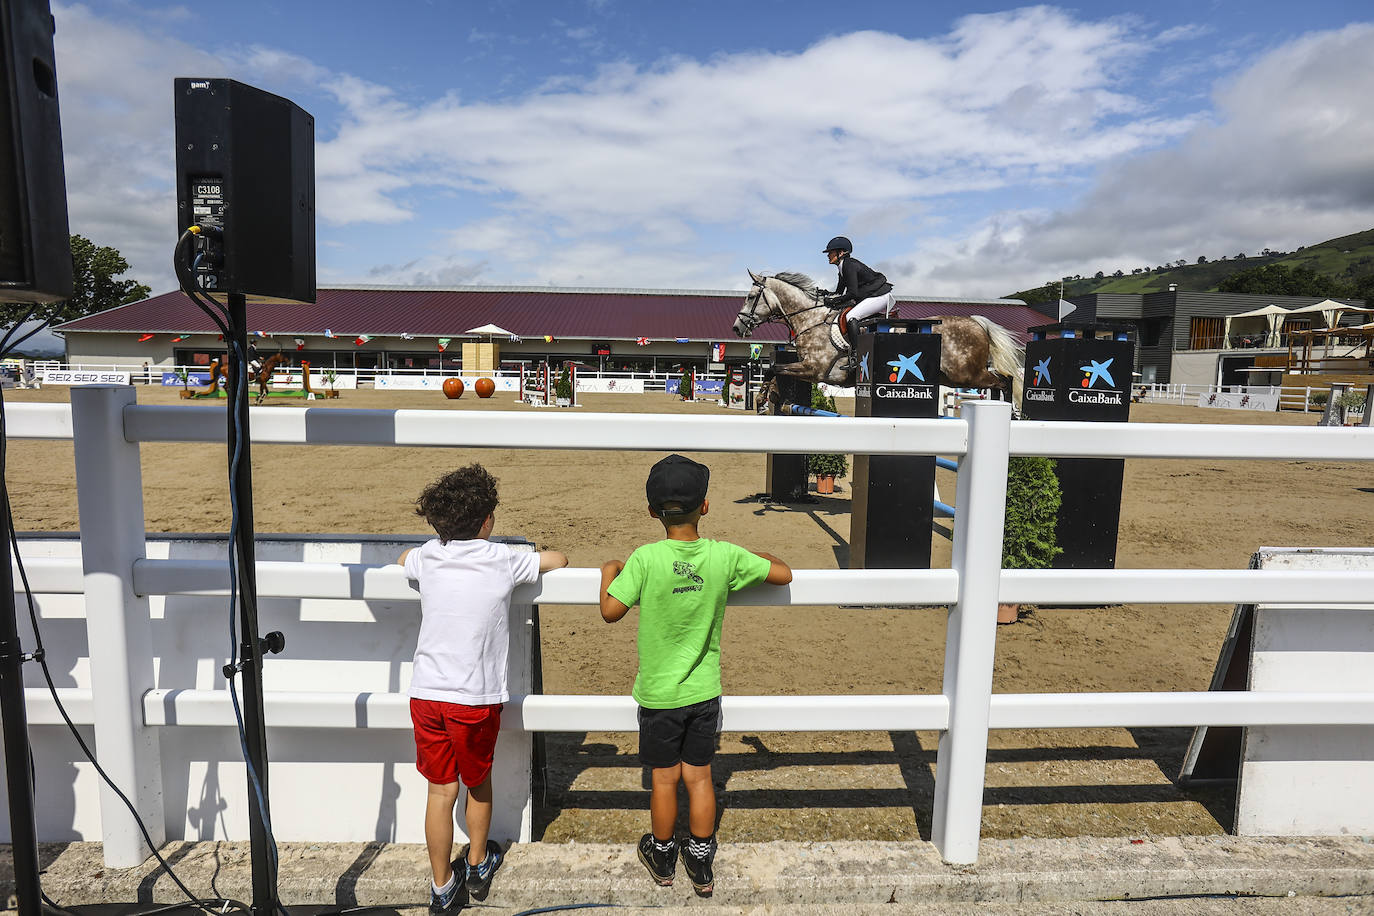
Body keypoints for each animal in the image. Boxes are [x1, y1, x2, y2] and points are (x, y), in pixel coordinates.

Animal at [736, 270, 1027, 414]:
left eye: (750, 297)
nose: (737, 328)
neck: (811, 318)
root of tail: (977, 322)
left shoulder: (814, 369)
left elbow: (774, 369)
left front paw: (762, 398)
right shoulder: (806, 367)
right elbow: (776, 370)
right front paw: (768, 396)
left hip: (966, 374)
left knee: (1005, 380)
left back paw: (1011, 411)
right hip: (954, 377)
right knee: (1000, 381)